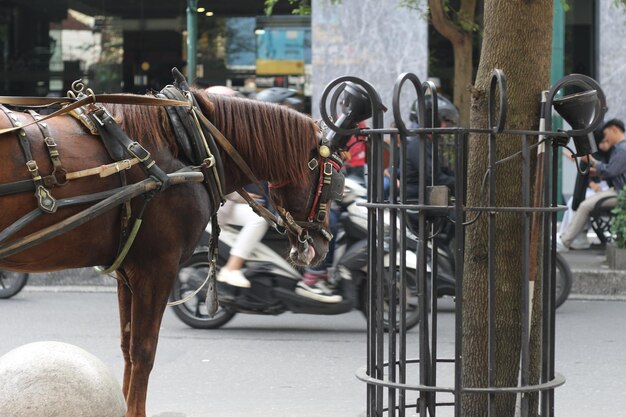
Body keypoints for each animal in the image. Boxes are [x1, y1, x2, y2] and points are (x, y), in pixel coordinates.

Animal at [0, 91, 334, 416]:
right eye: (334, 175)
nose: (323, 243)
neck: (191, 145)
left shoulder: (127, 271)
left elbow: (127, 347)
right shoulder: (157, 268)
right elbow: (144, 351)